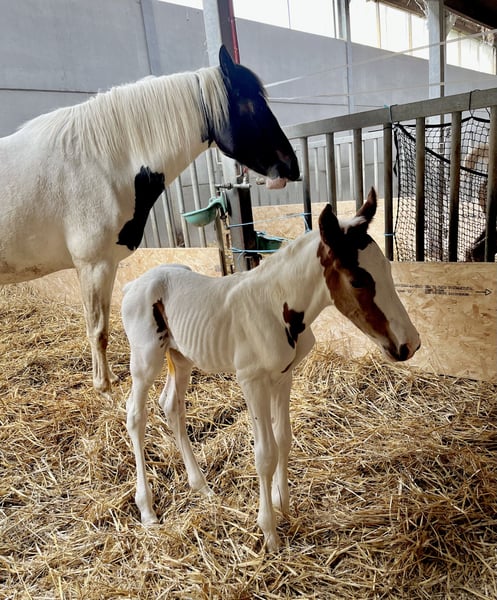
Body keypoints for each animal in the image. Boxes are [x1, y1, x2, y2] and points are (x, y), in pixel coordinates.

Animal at [0, 46, 299, 396]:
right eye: (250, 105)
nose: (292, 166)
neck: (98, 163)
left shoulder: (104, 266)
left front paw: (109, 381)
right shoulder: (93, 265)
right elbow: (97, 329)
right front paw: (104, 388)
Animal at [121, 187, 421, 551]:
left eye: (387, 269)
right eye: (358, 279)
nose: (410, 344)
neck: (276, 306)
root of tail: (134, 285)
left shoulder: (284, 376)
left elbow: (284, 439)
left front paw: (284, 505)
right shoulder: (251, 380)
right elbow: (264, 453)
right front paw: (270, 533)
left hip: (181, 358)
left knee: (171, 406)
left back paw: (201, 486)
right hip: (146, 359)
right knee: (136, 415)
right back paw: (147, 509)